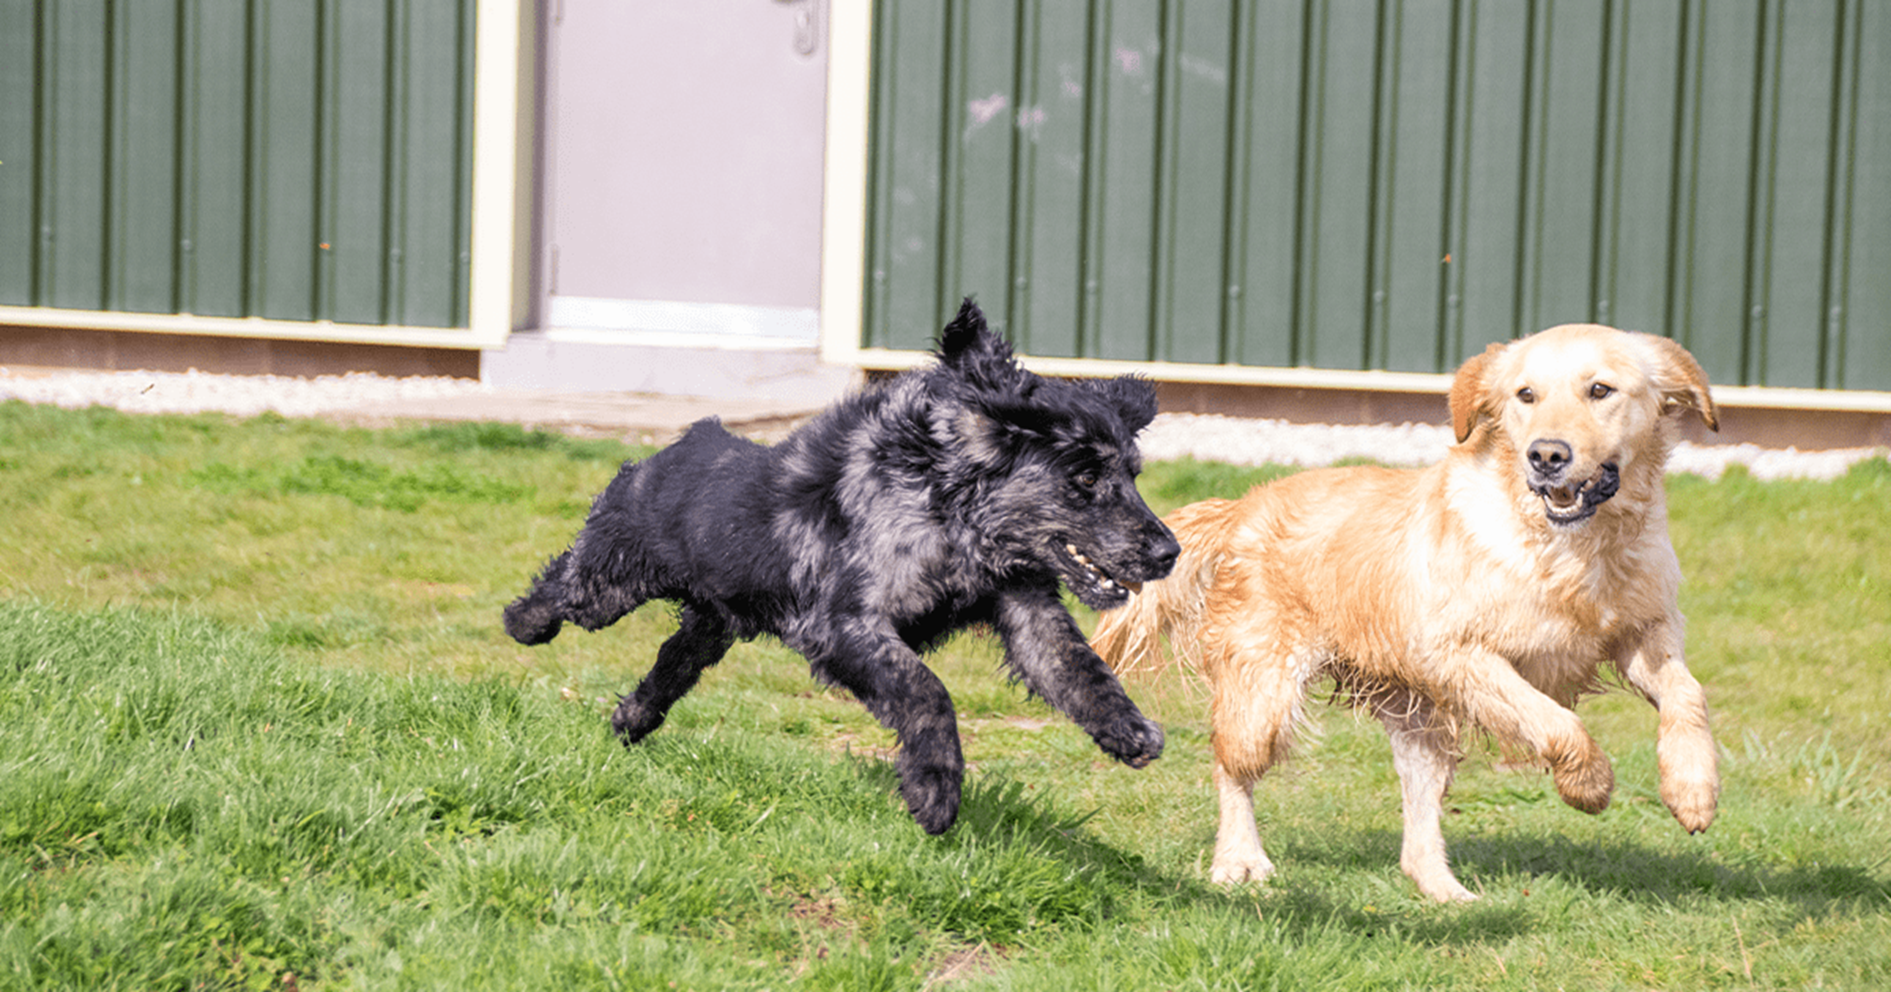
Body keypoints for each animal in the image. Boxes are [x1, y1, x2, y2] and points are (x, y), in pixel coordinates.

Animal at [503, 298, 1179, 831]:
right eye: (1085, 477)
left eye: (1132, 474)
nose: (1168, 552)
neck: (945, 512)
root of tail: (674, 447)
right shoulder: (842, 625)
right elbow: (926, 691)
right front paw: (935, 793)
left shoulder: (1026, 606)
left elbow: (1079, 671)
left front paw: (1130, 732)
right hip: (610, 582)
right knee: (562, 584)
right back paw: (523, 623)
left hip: (712, 626)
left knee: (671, 663)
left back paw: (631, 720)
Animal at [1096, 324, 1732, 895]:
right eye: (1525, 395)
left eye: (1600, 390)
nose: (1547, 456)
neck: (1572, 549)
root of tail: (1243, 506)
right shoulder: (1462, 654)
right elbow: (1557, 722)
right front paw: (1590, 784)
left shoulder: (1644, 630)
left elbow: (1688, 695)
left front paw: (1692, 790)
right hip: (1265, 692)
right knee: (1231, 766)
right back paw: (1238, 862)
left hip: (1423, 722)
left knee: (1417, 825)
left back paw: (1447, 893)